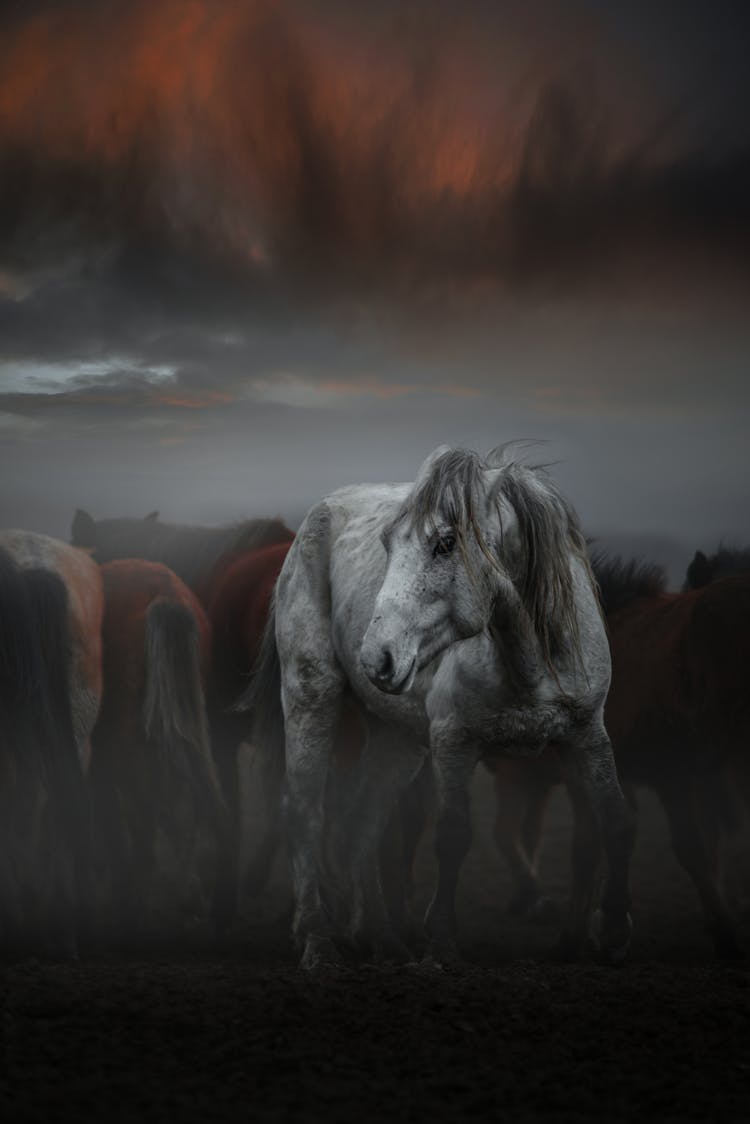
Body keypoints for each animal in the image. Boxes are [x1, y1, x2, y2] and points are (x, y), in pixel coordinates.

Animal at [251, 445, 634, 966]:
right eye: (388, 543)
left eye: (446, 543)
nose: (376, 657)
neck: (530, 662)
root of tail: (318, 513)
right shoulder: (454, 741)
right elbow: (453, 834)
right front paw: (442, 942)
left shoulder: (587, 736)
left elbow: (609, 822)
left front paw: (607, 931)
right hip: (311, 695)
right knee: (305, 810)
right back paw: (317, 940)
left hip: (398, 737)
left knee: (360, 817)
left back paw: (378, 937)